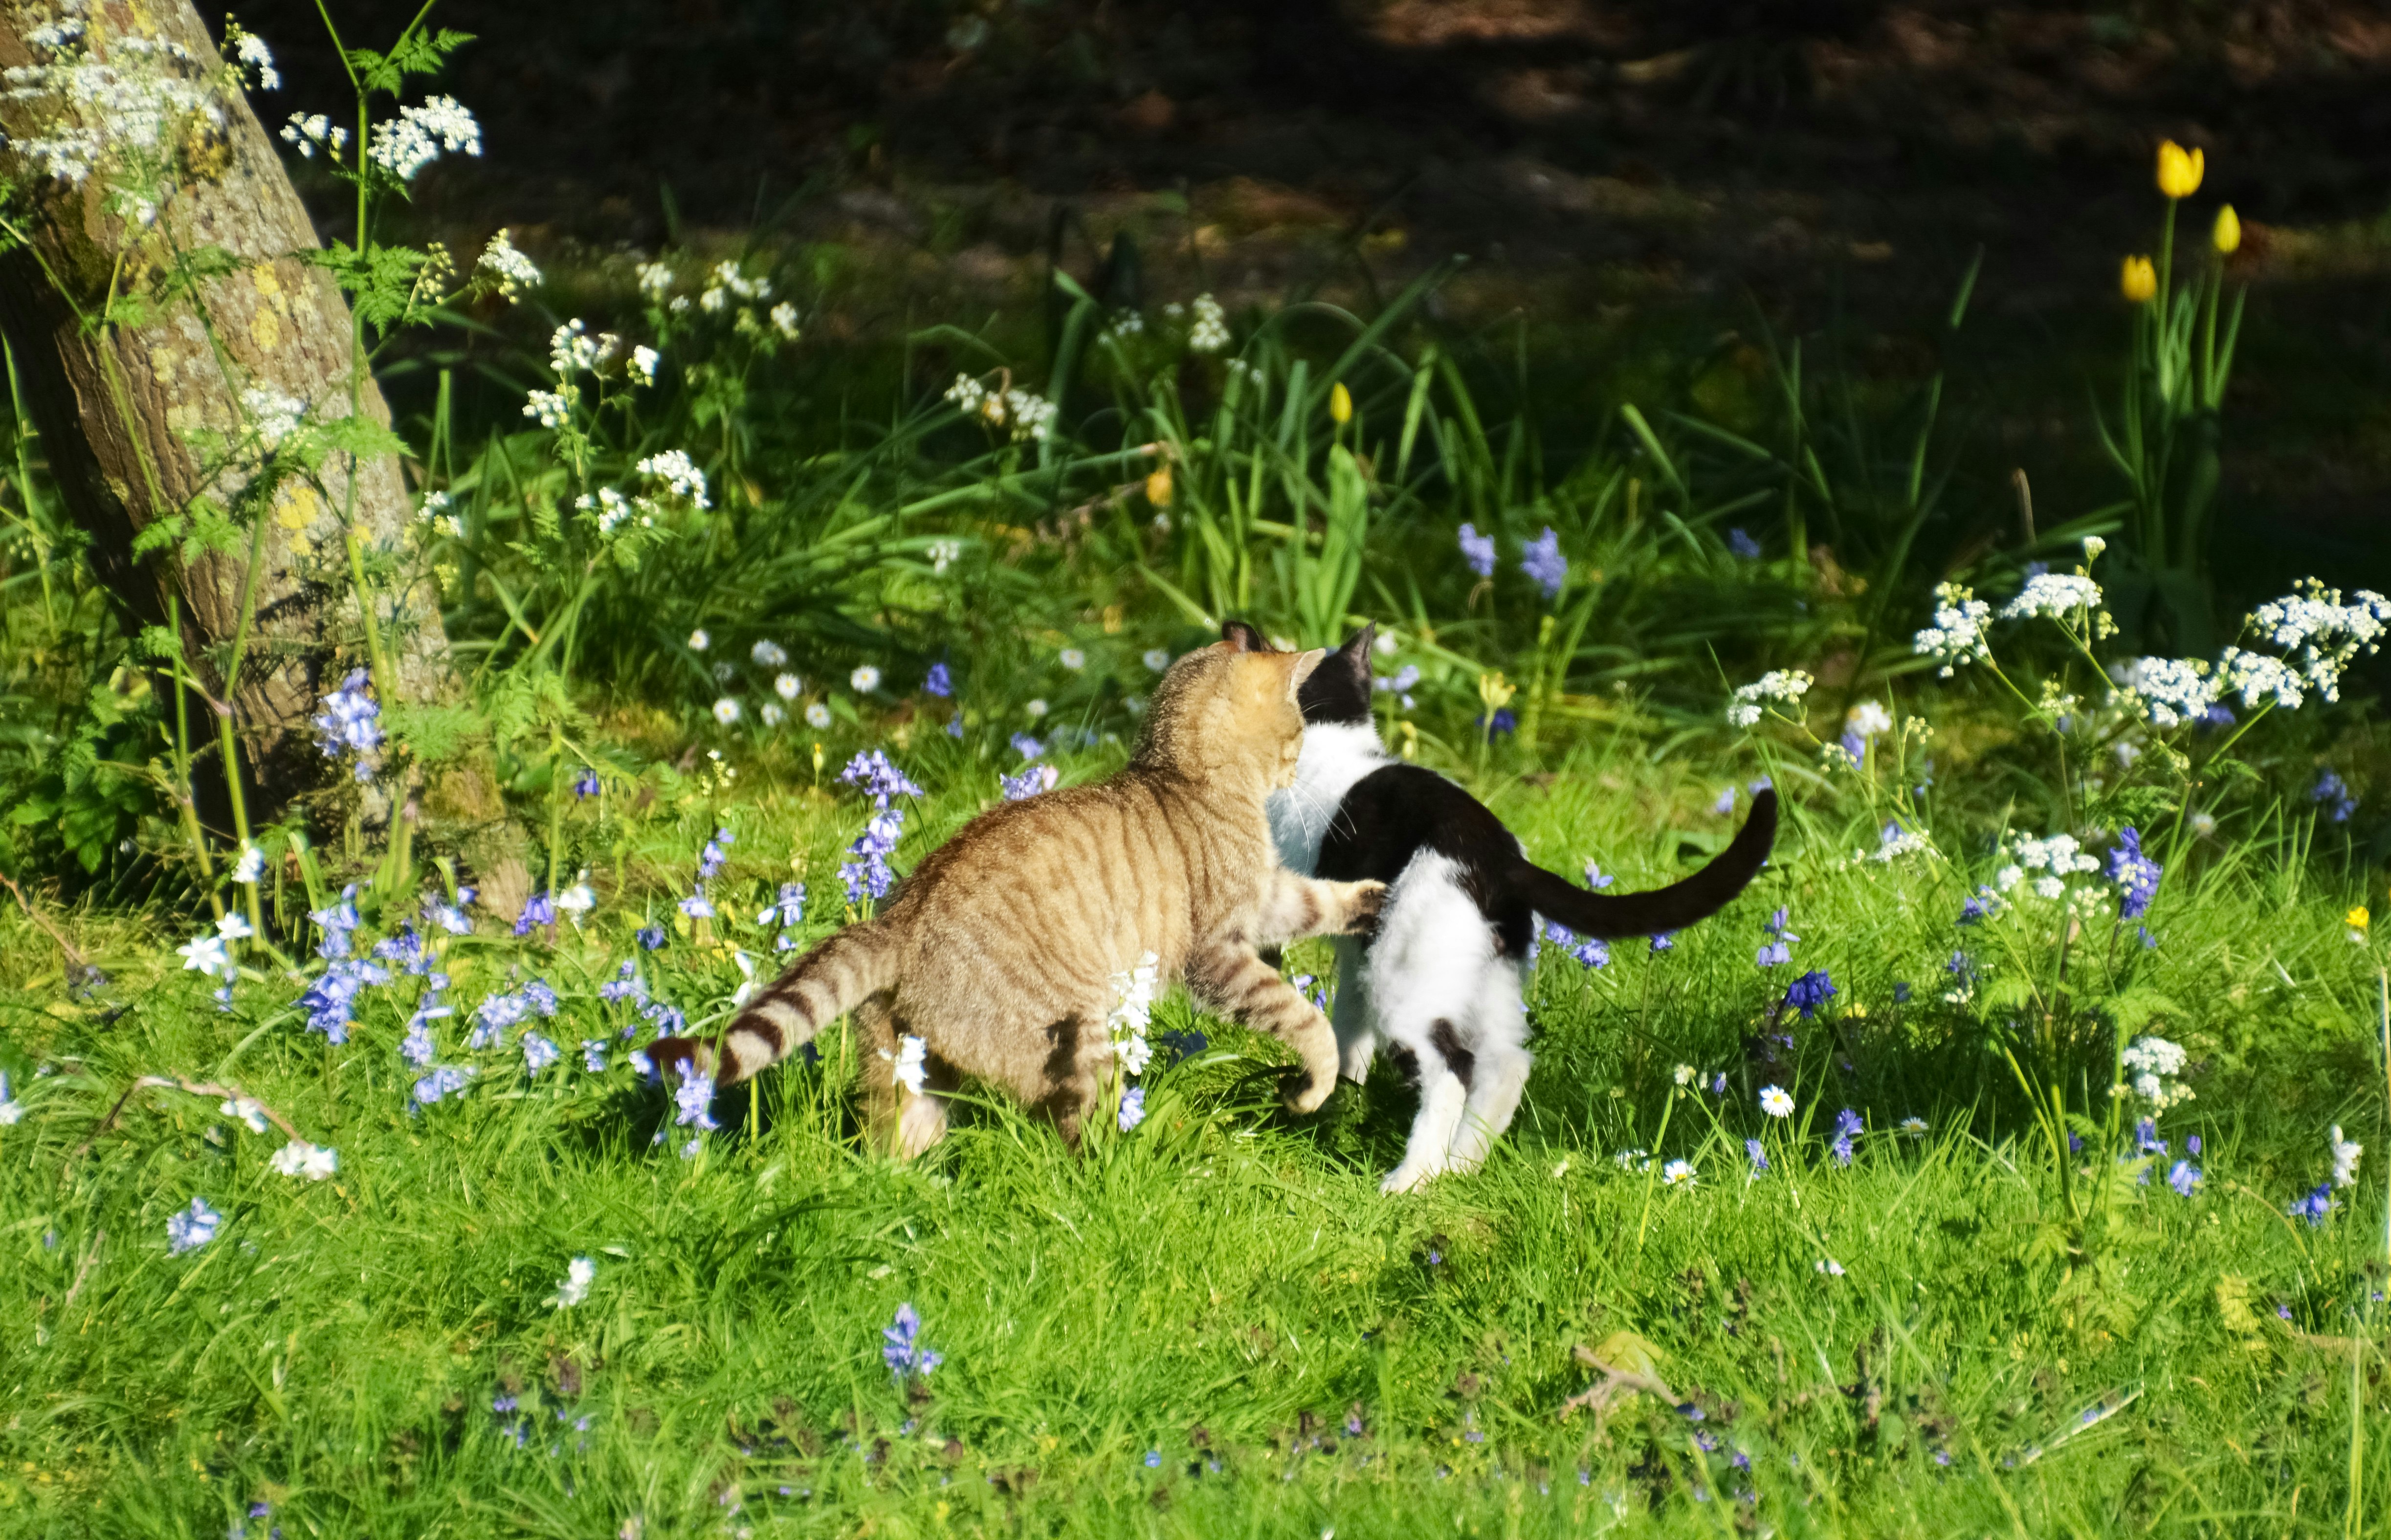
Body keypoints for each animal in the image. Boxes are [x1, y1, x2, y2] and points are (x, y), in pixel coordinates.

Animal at [645, 636, 1396, 1157]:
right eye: (1299, 730)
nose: (1299, 766)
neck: (1180, 776)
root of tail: (901, 918)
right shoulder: (1221, 952)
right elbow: (1303, 1017)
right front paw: (1318, 1082)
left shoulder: (1266, 900)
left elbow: (1317, 901)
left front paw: (1372, 897)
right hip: (1081, 1034)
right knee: (1077, 1128)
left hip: (906, 1070)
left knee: (897, 1149)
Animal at [1234, 621, 1779, 1190]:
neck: (1333, 738)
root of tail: (1499, 859)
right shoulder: (1354, 952)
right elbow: (1347, 1028)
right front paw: (1339, 1092)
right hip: (1483, 978)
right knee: (1507, 1064)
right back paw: (1461, 1166)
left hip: (1404, 976)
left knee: (1453, 1068)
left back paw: (1412, 1179)